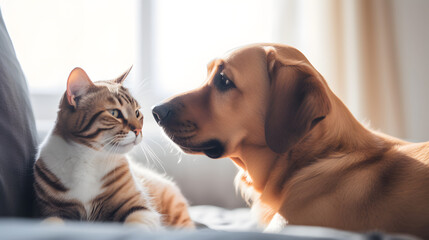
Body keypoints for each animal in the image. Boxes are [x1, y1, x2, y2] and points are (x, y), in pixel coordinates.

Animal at [33, 66, 194, 229]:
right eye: (114, 113)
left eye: (137, 113)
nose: (138, 130)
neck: (88, 159)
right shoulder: (52, 212)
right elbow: (50, 223)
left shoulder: (139, 208)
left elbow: (136, 225)